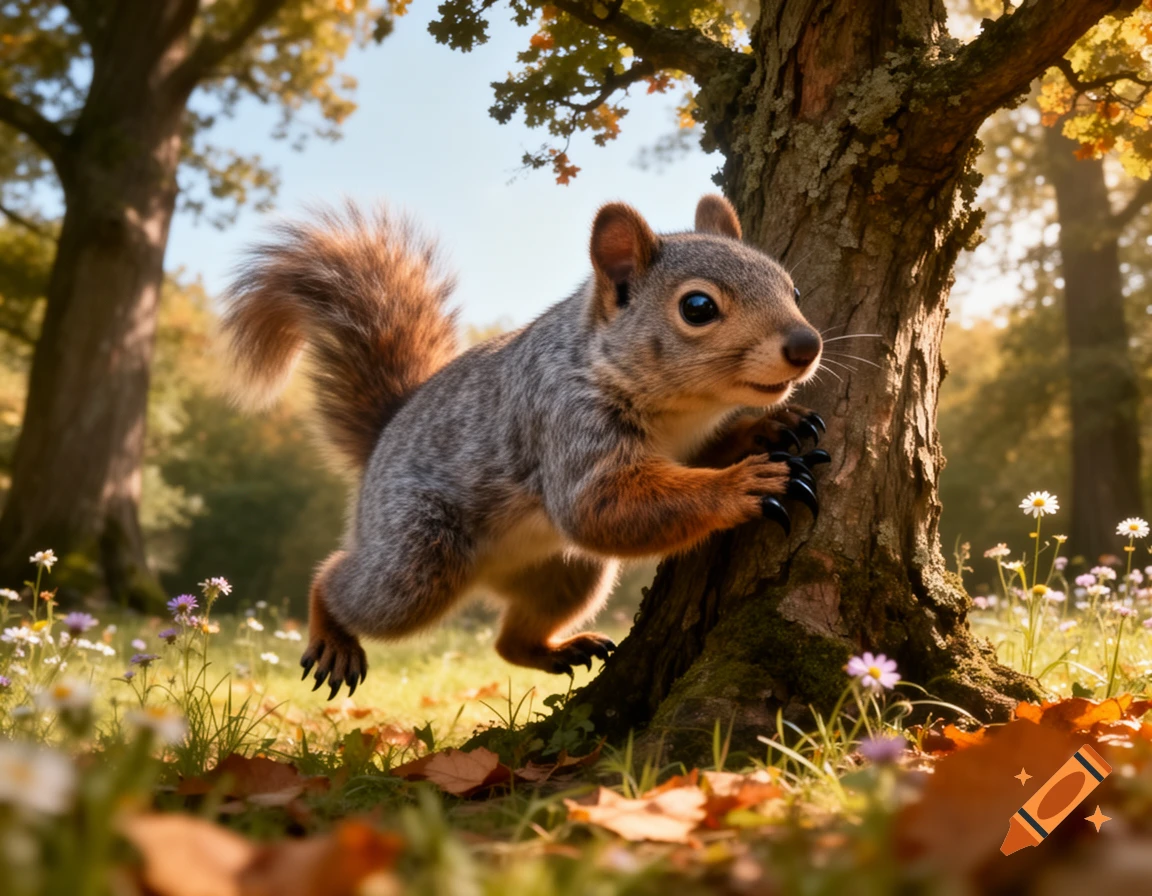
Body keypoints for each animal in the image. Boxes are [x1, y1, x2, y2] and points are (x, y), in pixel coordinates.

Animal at [221, 194, 828, 699]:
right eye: (698, 307)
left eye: (794, 289)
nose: (806, 344)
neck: (680, 409)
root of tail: (383, 440)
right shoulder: (564, 419)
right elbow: (597, 508)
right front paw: (747, 483)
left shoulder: (686, 445)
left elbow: (693, 463)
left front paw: (770, 429)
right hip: (417, 556)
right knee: (347, 583)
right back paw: (332, 632)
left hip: (566, 574)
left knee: (508, 642)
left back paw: (556, 650)